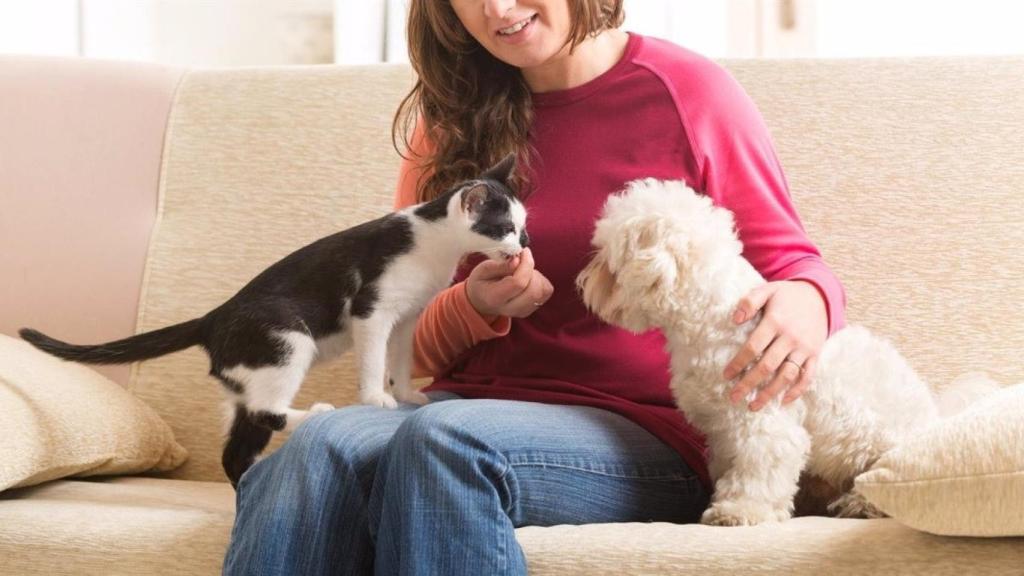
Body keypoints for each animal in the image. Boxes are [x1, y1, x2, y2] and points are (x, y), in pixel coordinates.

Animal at [18, 153, 528, 483]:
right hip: (286, 340)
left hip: (247, 380)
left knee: (238, 445)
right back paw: (318, 413)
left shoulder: (407, 319)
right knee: (269, 411)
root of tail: (213, 317)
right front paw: (374, 398)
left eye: (522, 227)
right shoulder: (372, 311)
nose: (523, 245)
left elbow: (399, 360)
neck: (435, 245)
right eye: (504, 228)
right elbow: (372, 360)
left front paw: (403, 392)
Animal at [581, 179, 987, 524]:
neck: (714, 317)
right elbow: (730, 468)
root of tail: (937, 417)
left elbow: (759, 471)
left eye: (607, 262)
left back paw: (859, 504)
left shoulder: (763, 420)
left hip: (885, 455)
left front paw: (738, 511)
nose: (583, 281)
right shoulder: (723, 431)